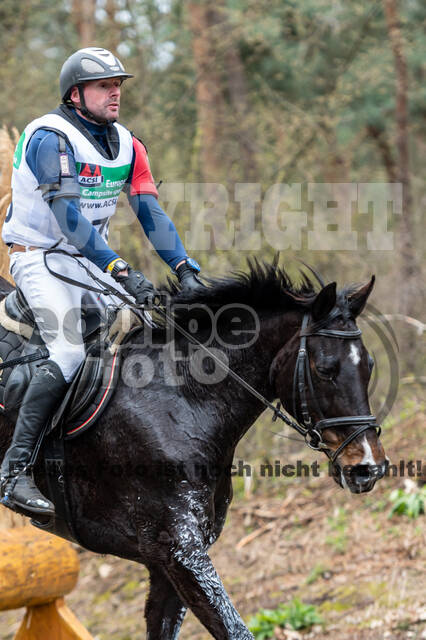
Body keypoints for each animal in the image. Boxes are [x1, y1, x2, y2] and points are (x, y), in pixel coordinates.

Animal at [0, 262, 386, 640]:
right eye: (325, 369)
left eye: (368, 365)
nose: (369, 467)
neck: (183, 396)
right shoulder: (180, 552)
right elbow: (237, 631)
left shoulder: (166, 562)